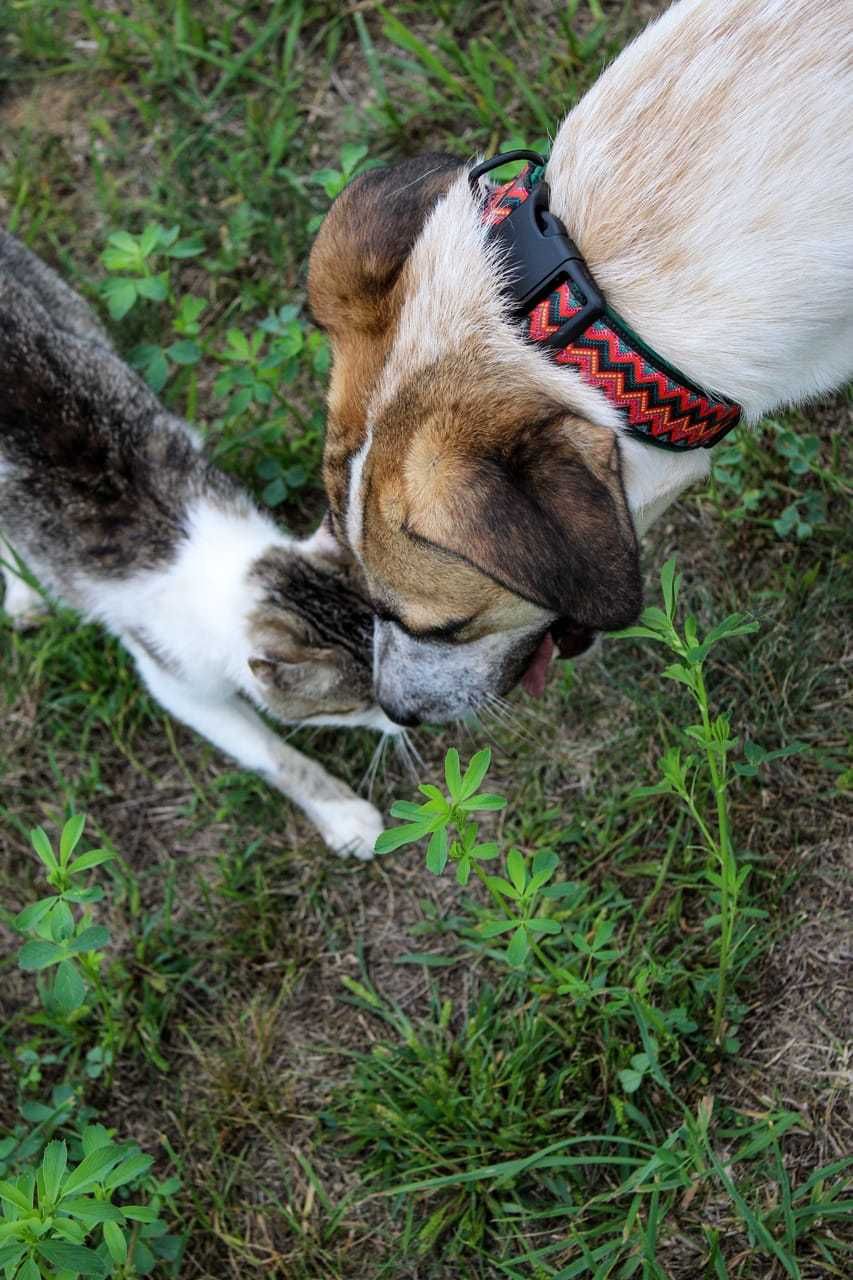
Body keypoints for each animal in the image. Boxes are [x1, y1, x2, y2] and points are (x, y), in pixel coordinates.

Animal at [0, 230, 391, 860]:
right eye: (358, 705)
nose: (412, 721)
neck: (210, 559)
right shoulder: (173, 676)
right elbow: (267, 751)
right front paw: (343, 812)